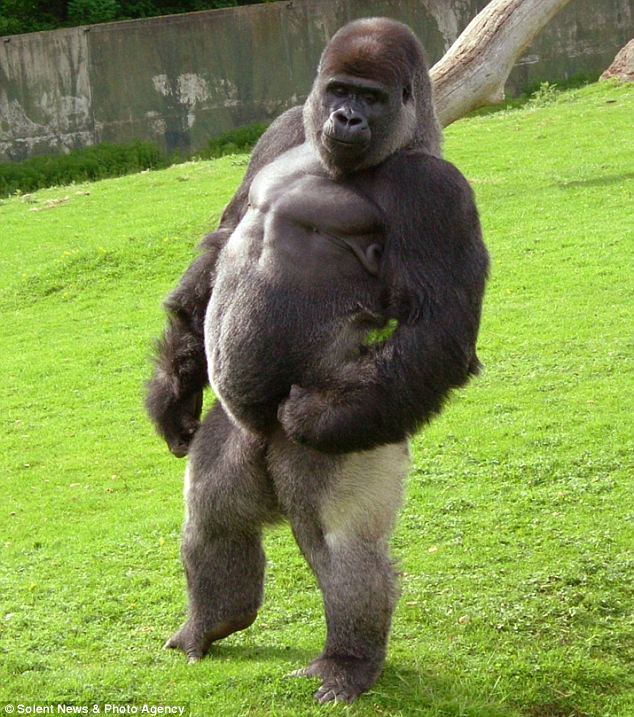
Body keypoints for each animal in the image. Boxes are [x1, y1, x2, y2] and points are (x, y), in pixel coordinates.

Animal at [146, 18, 489, 704]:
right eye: (338, 89)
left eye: (372, 98)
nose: (347, 117)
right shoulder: (282, 130)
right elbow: (224, 236)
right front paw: (174, 389)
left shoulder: (435, 192)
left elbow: (438, 326)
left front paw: (310, 416)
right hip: (238, 433)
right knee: (213, 516)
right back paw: (212, 620)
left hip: (360, 426)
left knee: (342, 549)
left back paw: (348, 660)